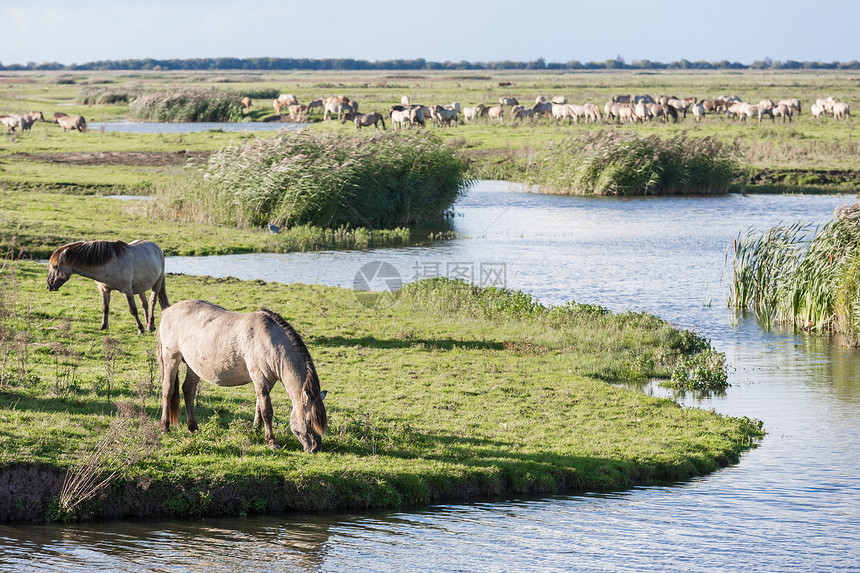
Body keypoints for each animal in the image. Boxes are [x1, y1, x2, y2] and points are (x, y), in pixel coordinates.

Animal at [156, 300, 328, 452]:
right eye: (308, 421)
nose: (315, 448)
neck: (270, 341)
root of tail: (168, 311)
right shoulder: (259, 377)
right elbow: (267, 411)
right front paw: (272, 442)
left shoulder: (268, 381)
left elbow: (259, 407)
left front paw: (255, 432)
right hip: (171, 359)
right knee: (168, 390)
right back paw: (165, 426)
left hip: (193, 366)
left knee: (188, 390)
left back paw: (193, 428)